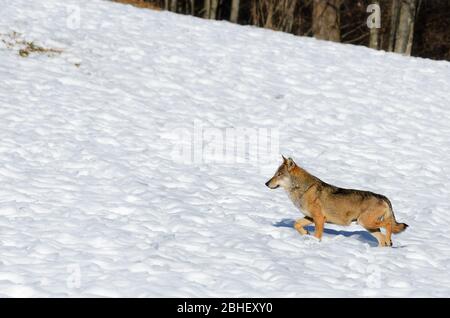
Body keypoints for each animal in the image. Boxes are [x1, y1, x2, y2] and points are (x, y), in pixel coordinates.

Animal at [266, 155, 410, 247]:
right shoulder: (310, 217)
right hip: (368, 226)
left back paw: (388, 241)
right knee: (382, 240)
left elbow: (317, 236)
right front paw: (306, 233)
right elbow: (296, 224)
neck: (304, 189)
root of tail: (384, 197)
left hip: (365, 222)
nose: (266, 183)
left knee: (388, 225)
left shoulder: (319, 219)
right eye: (275, 174)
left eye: (279, 175)